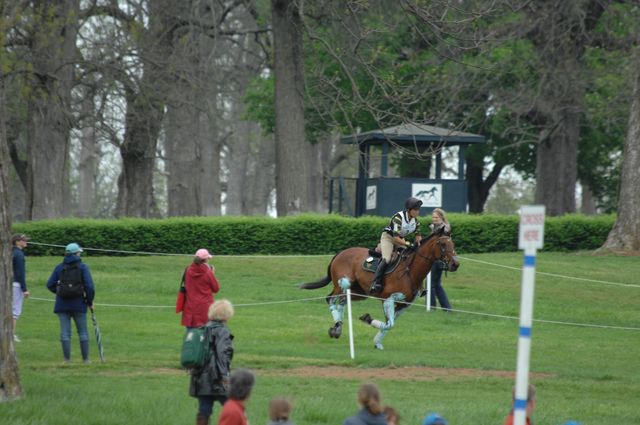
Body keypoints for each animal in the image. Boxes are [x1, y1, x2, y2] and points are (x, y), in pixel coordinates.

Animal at [300, 230, 460, 350]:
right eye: (442, 244)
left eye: (453, 243)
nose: (455, 264)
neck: (410, 271)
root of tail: (339, 254)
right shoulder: (388, 299)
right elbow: (390, 324)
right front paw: (367, 319)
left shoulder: (404, 304)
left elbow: (389, 324)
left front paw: (377, 342)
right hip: (341, 285)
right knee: (331, 299)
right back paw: (337, 327)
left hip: (359, 292)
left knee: (343, 301)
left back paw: (337, 327)